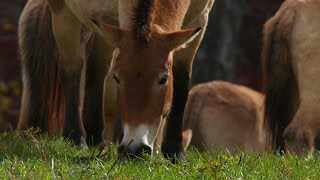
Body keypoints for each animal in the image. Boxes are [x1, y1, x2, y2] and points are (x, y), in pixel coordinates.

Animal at [16, 0, 212, 160]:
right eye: (117, 78)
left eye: (163, 79)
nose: (135, 149)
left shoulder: (200, 20)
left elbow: (181, 87)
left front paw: (175, 154)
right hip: (63, 14)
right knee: (71, 69)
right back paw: (77, 138)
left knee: (97, 68)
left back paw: (96, 138)